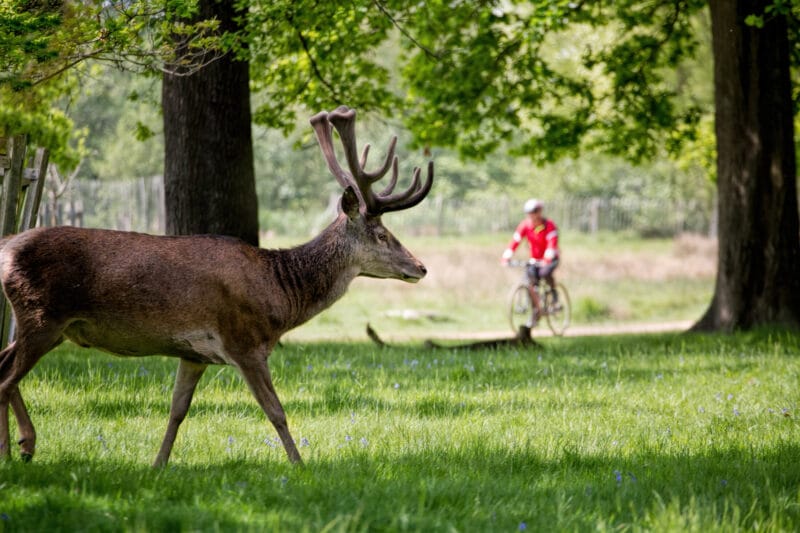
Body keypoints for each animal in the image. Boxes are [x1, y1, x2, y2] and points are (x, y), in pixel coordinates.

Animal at [0, 106, 433, 466]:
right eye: (381, 234)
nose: (421, 267)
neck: (279, 295)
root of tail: (6, 247)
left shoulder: (193, 354)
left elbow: (177, 411)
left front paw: (158, 465)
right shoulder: (245, 342)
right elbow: (276, 411)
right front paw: (300, 465)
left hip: (44, 324)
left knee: (4, 365)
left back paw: (25, 445)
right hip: (42, 315)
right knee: (5, 380)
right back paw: (15, 450)